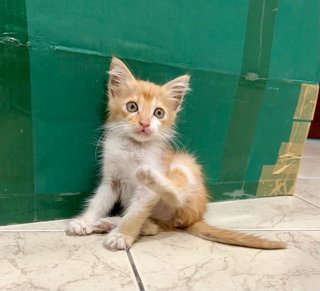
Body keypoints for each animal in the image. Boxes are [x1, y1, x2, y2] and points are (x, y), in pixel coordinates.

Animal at [66, 58, 286, 251]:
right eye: (132, 106)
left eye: (159, 113)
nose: (145, 123)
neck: (134, 146)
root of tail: (196, 216)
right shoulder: (112, 180)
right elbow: (98, 202)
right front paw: (84, 221)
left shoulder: (149, 187)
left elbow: (135, 215)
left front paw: (123, 235)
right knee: (154, 226)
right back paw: (110, 222)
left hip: (183, 167)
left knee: (173, 199)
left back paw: (147, 182)